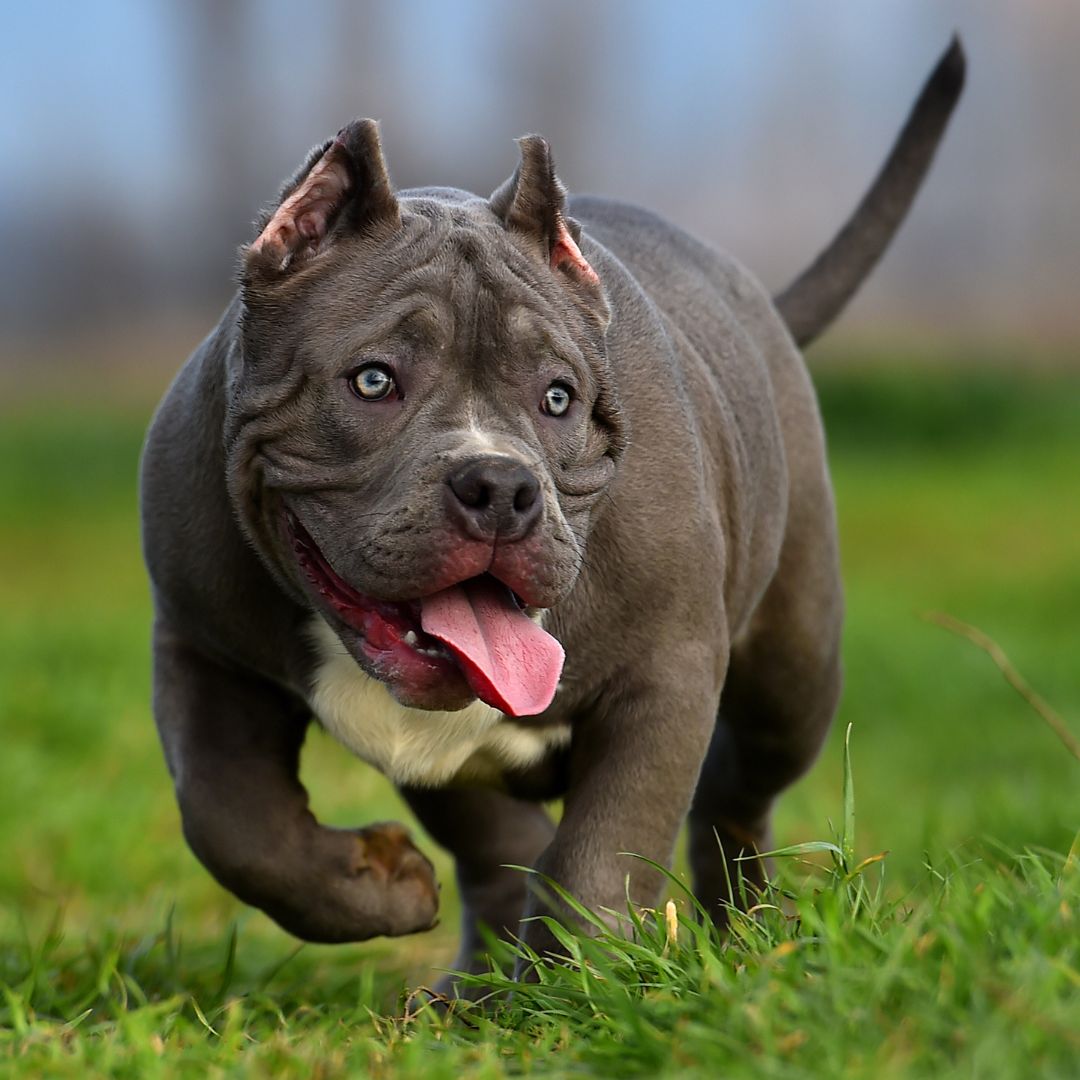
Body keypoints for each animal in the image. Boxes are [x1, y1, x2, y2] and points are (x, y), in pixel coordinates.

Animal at [141, 39, 963, 989]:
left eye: (559, 398)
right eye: (373, 380)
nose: (500, 486)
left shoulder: (665, 671)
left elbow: (605, 847)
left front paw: (590, 977)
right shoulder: (201, 643)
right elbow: (230, 818)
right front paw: (379, 887)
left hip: (794, 671)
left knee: (735, 790)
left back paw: (742, 930)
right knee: (496, 844)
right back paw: (475, 987)